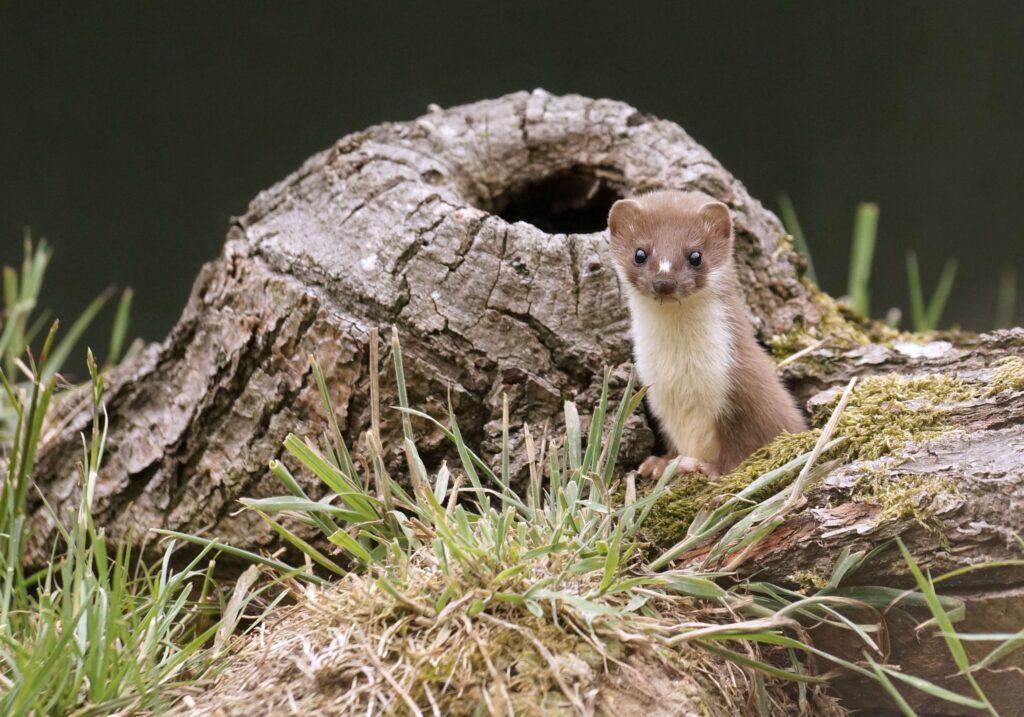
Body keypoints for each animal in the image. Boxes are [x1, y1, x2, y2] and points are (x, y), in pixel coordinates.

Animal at [606, 191, 806, 481]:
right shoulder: (659, 397)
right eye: (640, 253)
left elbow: (744, 445)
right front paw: (660, 463)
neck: (679, 371)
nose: (664, 282)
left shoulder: (745, 386)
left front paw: (704, 467)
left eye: (695, 255)